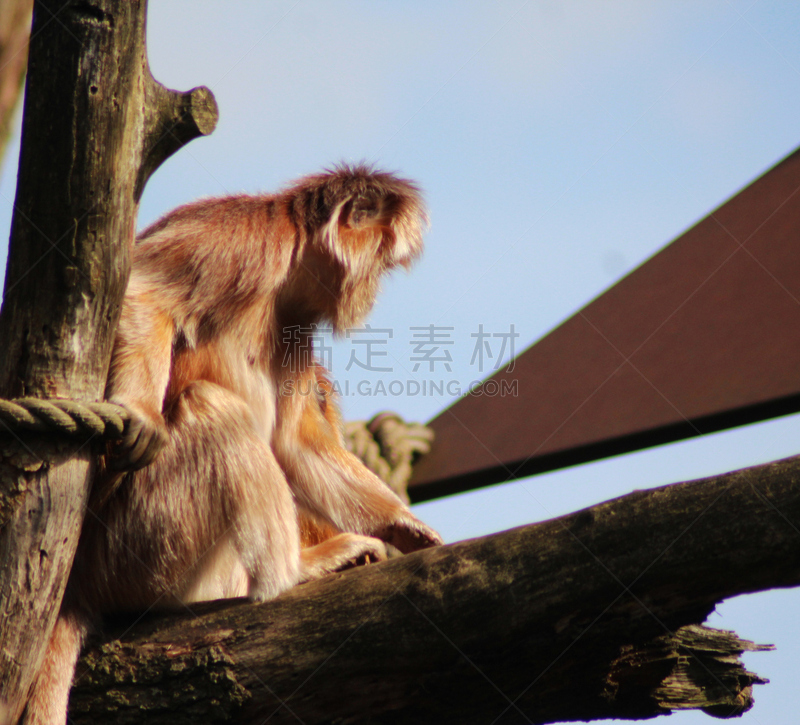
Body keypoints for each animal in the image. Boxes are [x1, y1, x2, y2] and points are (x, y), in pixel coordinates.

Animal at [25, 165, 446, 724]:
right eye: (380, 263)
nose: (374, 290)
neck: (283, 273)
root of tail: (76, 582)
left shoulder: (296, 322)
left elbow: (295, 443)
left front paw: (405, 526)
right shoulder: (241, 242)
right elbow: (140, 293)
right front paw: (141, 411)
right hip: (135, 548)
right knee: (212, 406)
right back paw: (291, 574)